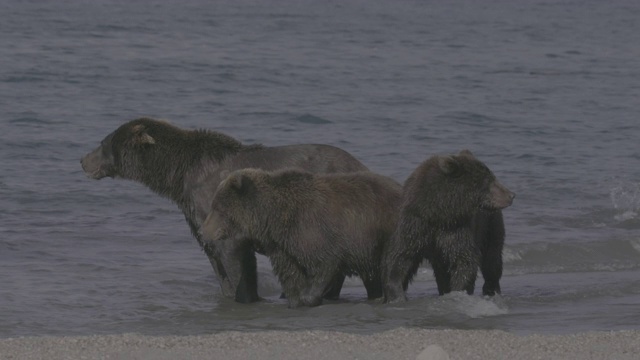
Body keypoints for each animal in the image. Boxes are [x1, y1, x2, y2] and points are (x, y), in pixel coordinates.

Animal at [80, 116, 370, 302]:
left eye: (103, 143)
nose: (83, 160)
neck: (179, 175)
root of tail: (363, 165)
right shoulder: (195, 213)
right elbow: (213, 256)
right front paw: (229, 293)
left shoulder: (220, 205)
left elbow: (233, 252)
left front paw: (246, 297)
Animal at [201, 168, 400, 306]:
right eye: (213, 206)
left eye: (217, 208)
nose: (204, 232)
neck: (272, 219)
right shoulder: (282, 247)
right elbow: (291, 273)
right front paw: (295, 299)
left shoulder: (311, 230)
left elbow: (325, 263)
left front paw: (308, 298)